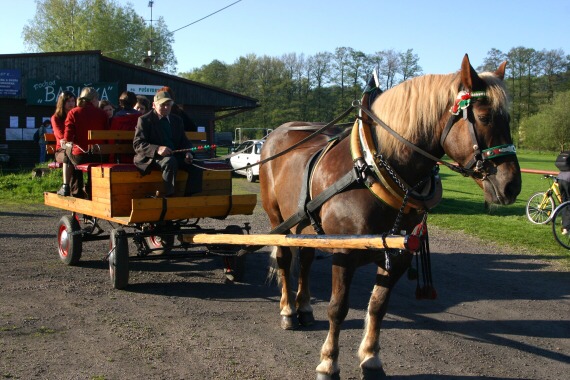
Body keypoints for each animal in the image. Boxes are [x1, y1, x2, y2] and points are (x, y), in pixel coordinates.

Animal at [260, 54, 520, 380]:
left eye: (508, 119)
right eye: (484, 117)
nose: (512, 185)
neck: (371, 169)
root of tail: (277, 132)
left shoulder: (398, 255)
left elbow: (377, 306)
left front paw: (371, 359)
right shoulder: (344, 252)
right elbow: (338, 308)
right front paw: (328, 363)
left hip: (306, 224)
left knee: (305, 260)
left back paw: (304, 308)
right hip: (277, 218)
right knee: (284, 259)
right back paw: (287, 311)